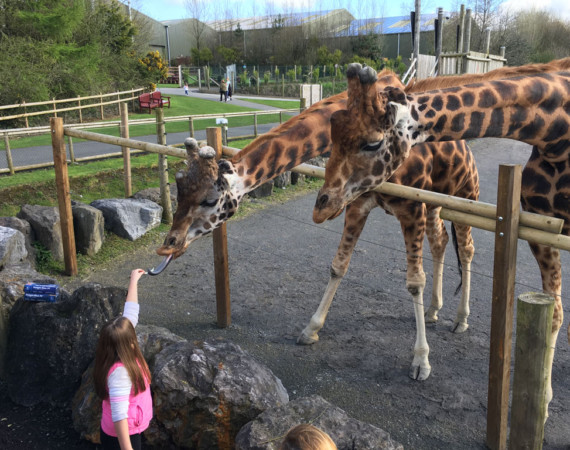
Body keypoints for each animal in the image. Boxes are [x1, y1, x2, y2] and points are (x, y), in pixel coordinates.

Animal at [313, 59, 570, 415]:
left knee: (467, 247)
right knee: (440, 242)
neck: (556, 133)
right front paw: (311, 328)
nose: (320, 208)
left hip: (466, 197)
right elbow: (339, 264)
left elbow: (413, 282)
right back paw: (435, 309)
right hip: (435, 204)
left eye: (373, 142)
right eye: (332, 132)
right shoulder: (360, 203)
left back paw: (460, 319)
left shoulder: (410, 208)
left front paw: (421, 361)